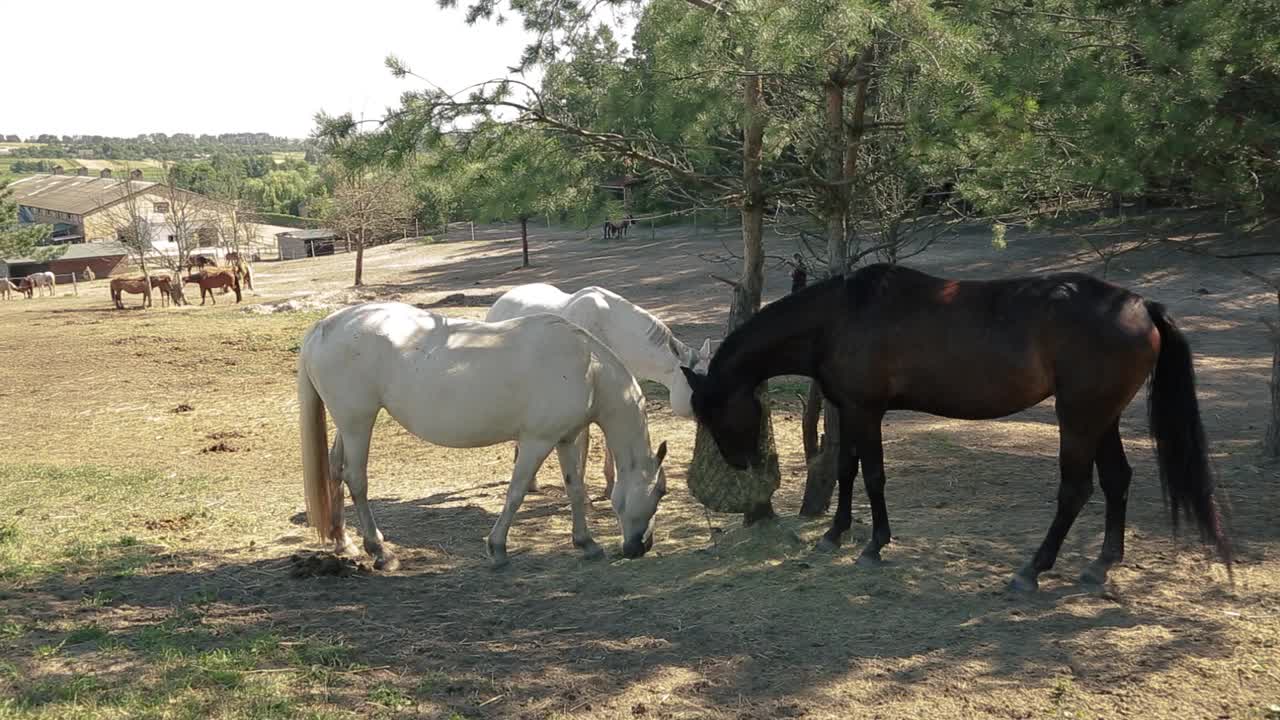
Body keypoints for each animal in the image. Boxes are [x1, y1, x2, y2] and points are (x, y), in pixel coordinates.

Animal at [298, 299, 670, 568]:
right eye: (660, 492)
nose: (641, 547)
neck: (587, 366)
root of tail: (325, 326)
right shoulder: (537, 441)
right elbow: (516, 492)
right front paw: (498, 547)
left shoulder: (564, 439)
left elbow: (574, 488)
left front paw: (587, 543)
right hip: (358, 423)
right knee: (355, 479)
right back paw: (380, 551)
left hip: (348, 424)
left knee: (335, 470)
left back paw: (343, 541)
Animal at [686, 263, 1233, 589]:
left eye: (714, 411)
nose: (739, 462)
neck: (840, 316)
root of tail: (1140, 306)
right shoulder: (850, 410)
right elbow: (845, 470)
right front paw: (835, 535)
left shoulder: (866, 410)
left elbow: (873, 476)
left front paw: (874, 544)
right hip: (1103, 418)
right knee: (1118, 479)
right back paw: (1102, 563)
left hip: (1079, 418)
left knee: (1075, 490)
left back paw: (1033, 569)